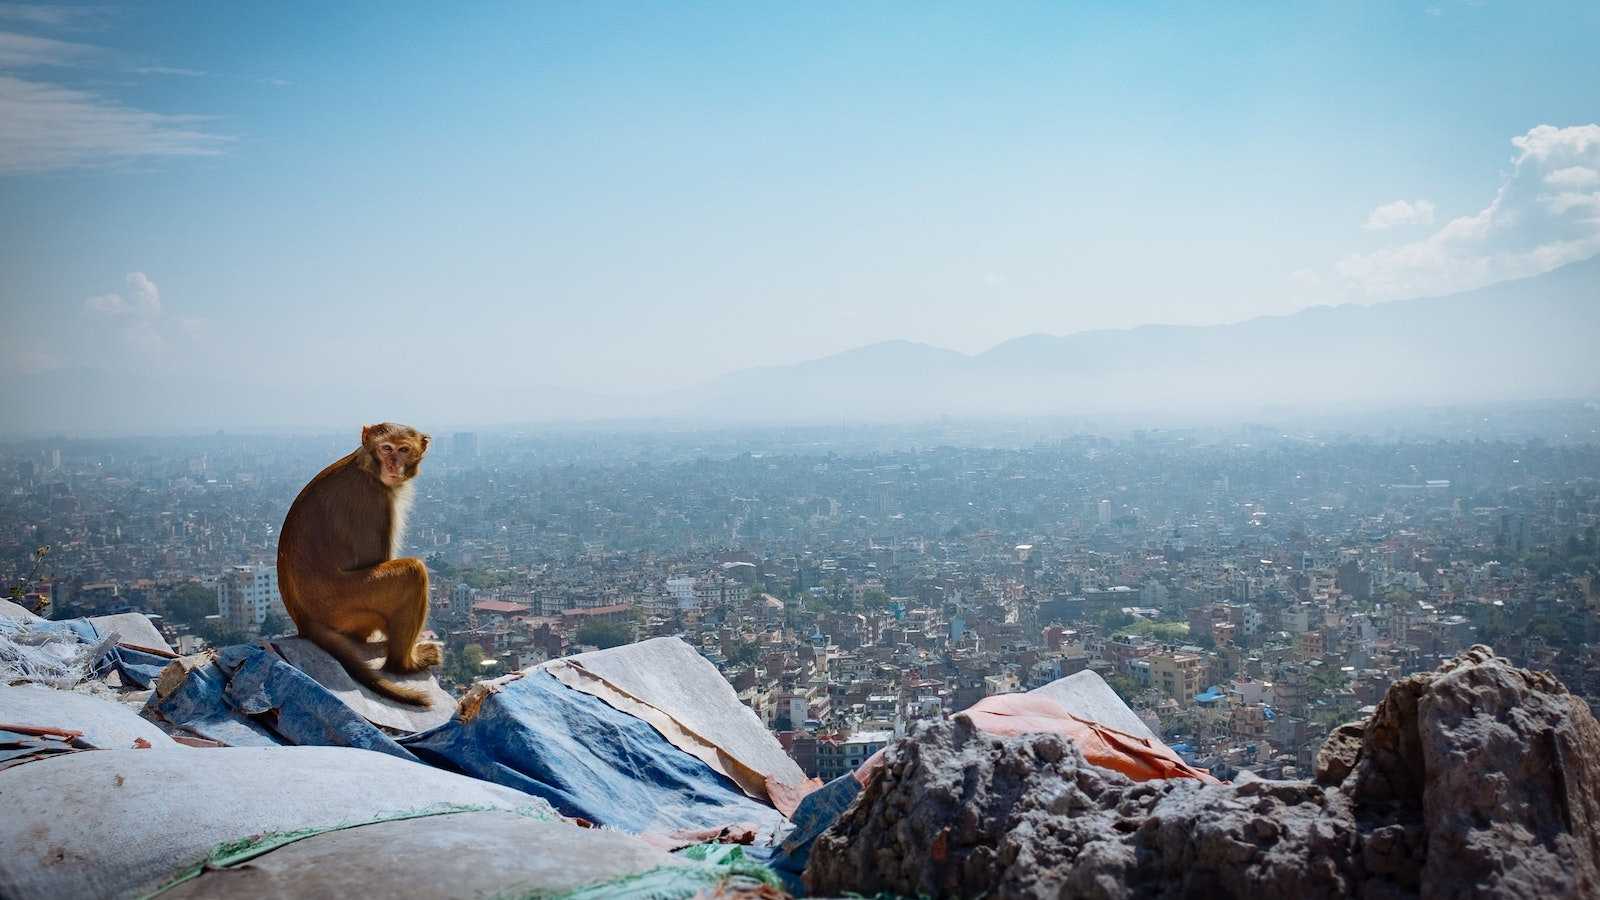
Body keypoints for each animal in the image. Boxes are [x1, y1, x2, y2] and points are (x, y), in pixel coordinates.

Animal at [273, 422, 438, 704]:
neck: (368, 467)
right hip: (345, 610)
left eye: (403, 450)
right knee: (413, 572)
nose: (393, 465)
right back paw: (403, 664)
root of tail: (304, 622)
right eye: (386, 449)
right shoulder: (374, 502)